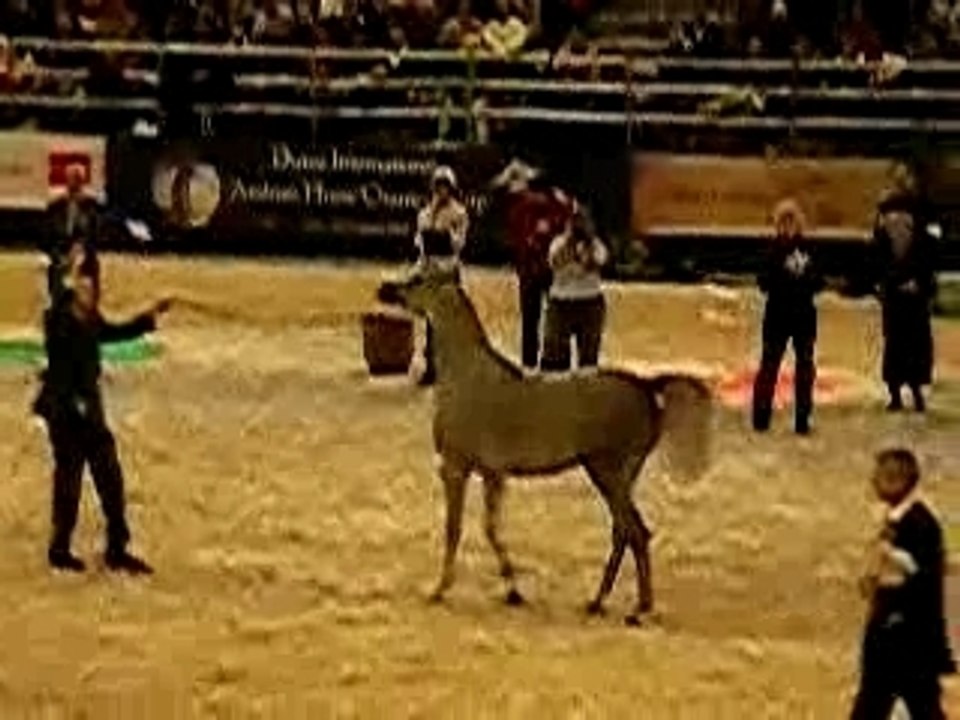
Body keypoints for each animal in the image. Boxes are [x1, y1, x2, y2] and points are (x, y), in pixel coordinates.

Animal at [377, 266, 712, 625]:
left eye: (417, 279)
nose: (385, 289)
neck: (468, 378)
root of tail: (647, 386)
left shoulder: (457, 470)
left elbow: (460, 529)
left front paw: (440, 590)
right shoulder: (492, 475)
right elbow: (491, 529)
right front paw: (513, 592)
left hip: (608, 472)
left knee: (635, 531)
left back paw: (636, 609)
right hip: (616, 476)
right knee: (624, 531)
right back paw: (600, 602)